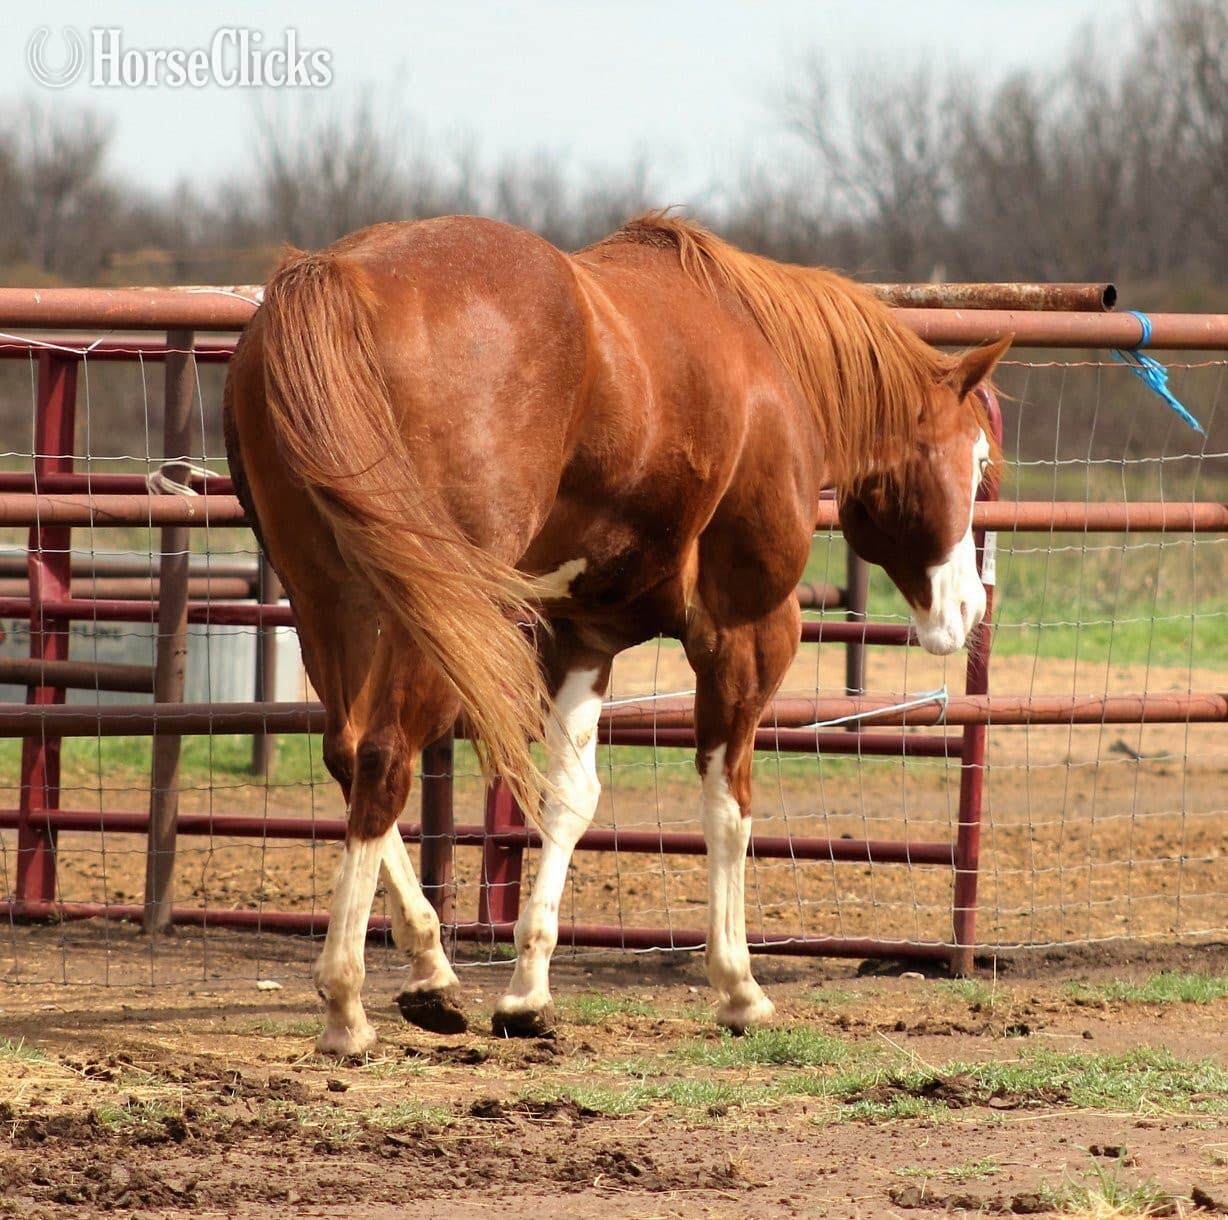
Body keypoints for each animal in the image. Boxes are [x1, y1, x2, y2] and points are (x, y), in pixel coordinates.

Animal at [223, 211, 1008, 1056]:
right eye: (977, 461)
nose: (967, 609)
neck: (762, 360)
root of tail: (335, 278)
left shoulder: (583, 637)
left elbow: (569, 798)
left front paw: (527, 992)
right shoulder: (747, 632)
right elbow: (728, 801)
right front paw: (738, 987)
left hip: (329, 599)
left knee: (348, 752)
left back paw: (431, 969)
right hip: (433, 608)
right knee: (382, 757)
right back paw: (348, 1003)